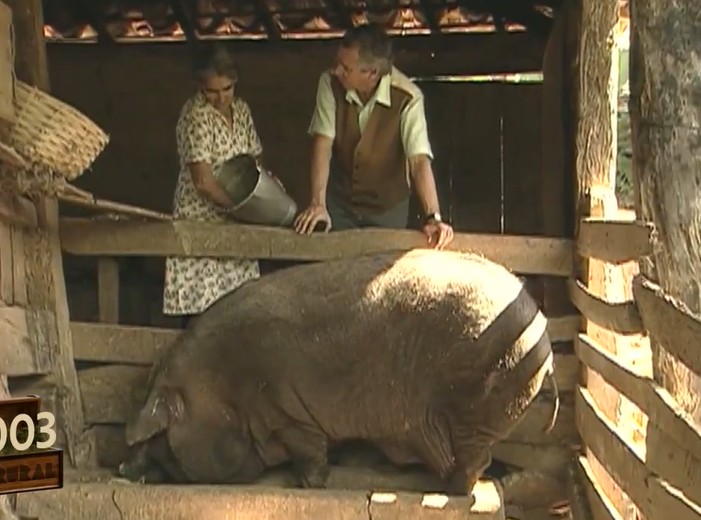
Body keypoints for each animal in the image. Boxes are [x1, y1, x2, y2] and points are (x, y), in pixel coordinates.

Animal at [119, 249, 559, 502]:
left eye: (159, 433)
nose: (121, 467)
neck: (225, 387)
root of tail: (541, 327)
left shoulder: (289, 411)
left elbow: (310, 453)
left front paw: (308, 485)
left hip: (480, 405)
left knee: (476, 460)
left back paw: (445, 488)